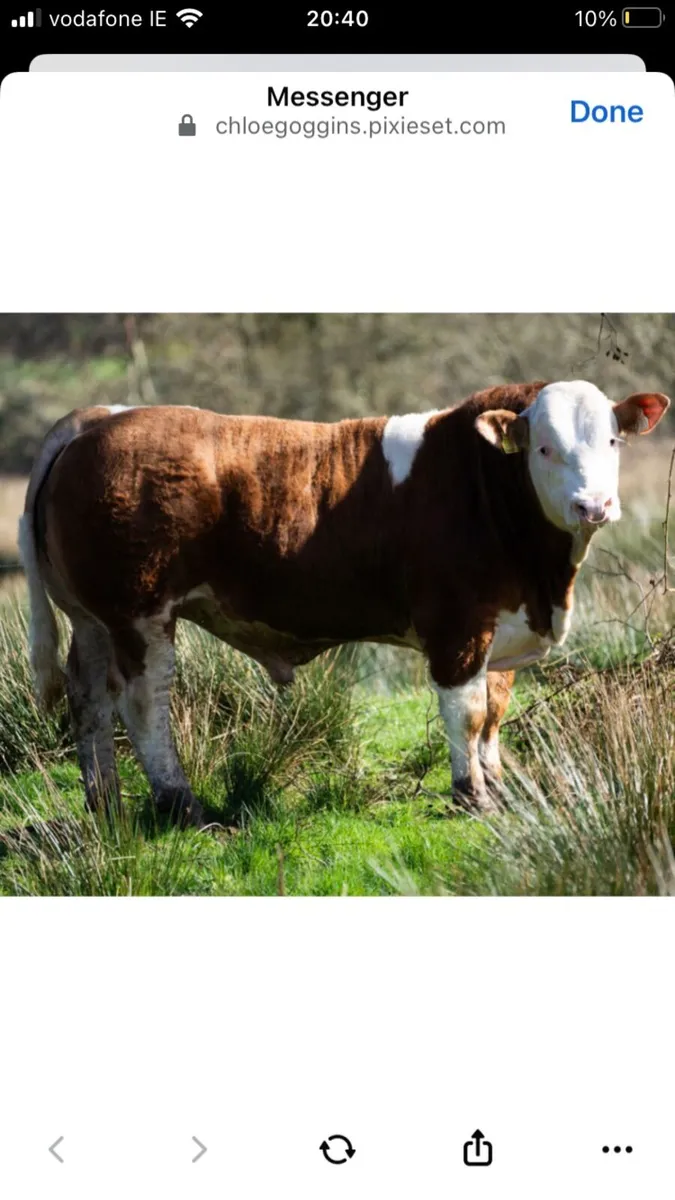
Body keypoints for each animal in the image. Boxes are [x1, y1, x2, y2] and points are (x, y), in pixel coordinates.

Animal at [18, 380, 670, 827]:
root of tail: (102, 417)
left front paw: (500, 790)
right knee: (143, 704)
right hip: (140, 613)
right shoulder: (457, 627)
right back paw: (187, 809)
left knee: (89, 697)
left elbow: (492, 714)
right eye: (543, 448)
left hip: (94, 619)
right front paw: (472, 797)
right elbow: (465, 713)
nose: (594, 505)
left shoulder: (499, 627)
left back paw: (106, 804)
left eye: (612, 440)